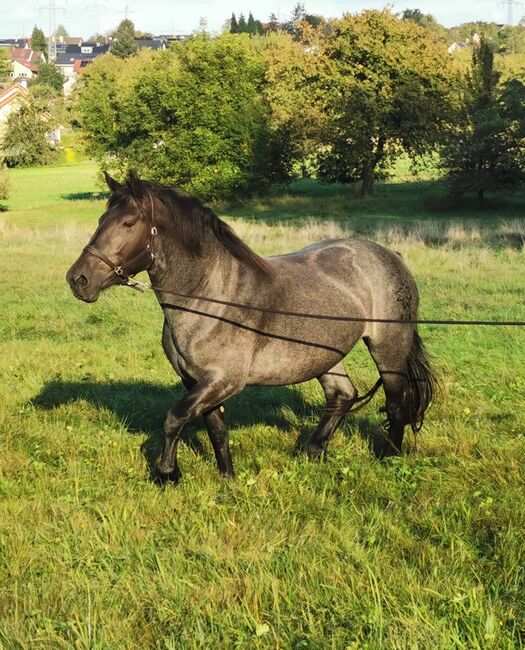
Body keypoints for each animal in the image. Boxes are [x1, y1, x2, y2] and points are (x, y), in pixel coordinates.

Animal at [68, 171, 438, 480]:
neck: (211, 297)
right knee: (343, 395)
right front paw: (227, 478)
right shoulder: (197, 381)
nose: (78, 279)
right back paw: (311, 451)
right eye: (101, 219)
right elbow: (216, 428)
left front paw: (168, 473)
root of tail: (390, 255)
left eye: (128, 222)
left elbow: (174, 419)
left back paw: (388, 457)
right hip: (324, 355)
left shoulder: (225, 380)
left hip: (388, 348)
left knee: (397, 403)